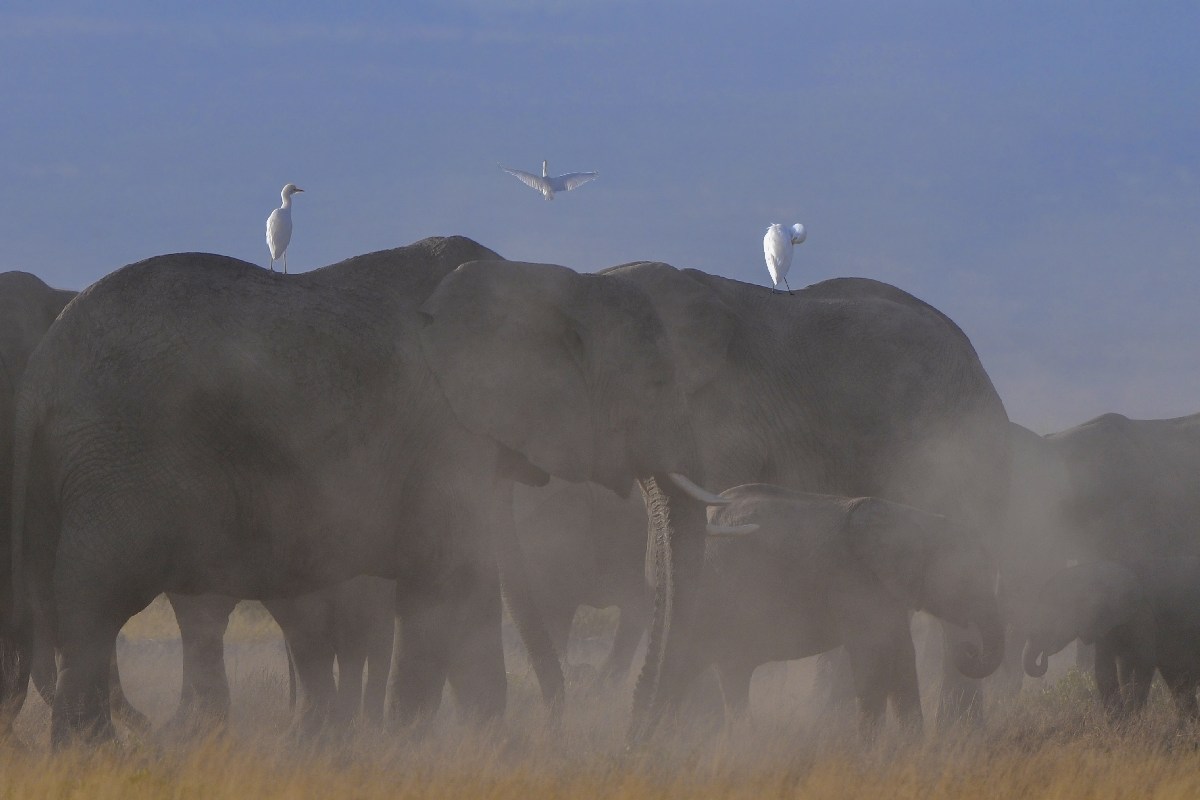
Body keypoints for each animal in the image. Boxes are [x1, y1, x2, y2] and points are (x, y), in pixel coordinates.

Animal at [1, 236, 722, 746]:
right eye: (658, 384)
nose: (634, 732)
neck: (549, 279)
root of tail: (42, 372)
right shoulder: (442, 435)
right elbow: (451, 587)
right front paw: (420, 750)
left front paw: (479, 750)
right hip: (121, 457)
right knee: (96, 601)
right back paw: (98, 755)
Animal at [697, 484, 1004, 733]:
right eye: (966, 579)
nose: (969, 648)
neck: (917, 520)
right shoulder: (854, 579)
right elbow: (873, 656)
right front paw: (868, 751)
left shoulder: (887, 589)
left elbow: (902, 655)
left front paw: (910, 747)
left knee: (733, 672)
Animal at [1022, 558, 1200, 720]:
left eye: (1051, 621)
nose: (1045, 653)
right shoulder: (1105, 626)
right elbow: (1105, 669)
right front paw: (1120, 722)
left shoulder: (1143, 618)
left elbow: (1142, 664)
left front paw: (1133, 718)